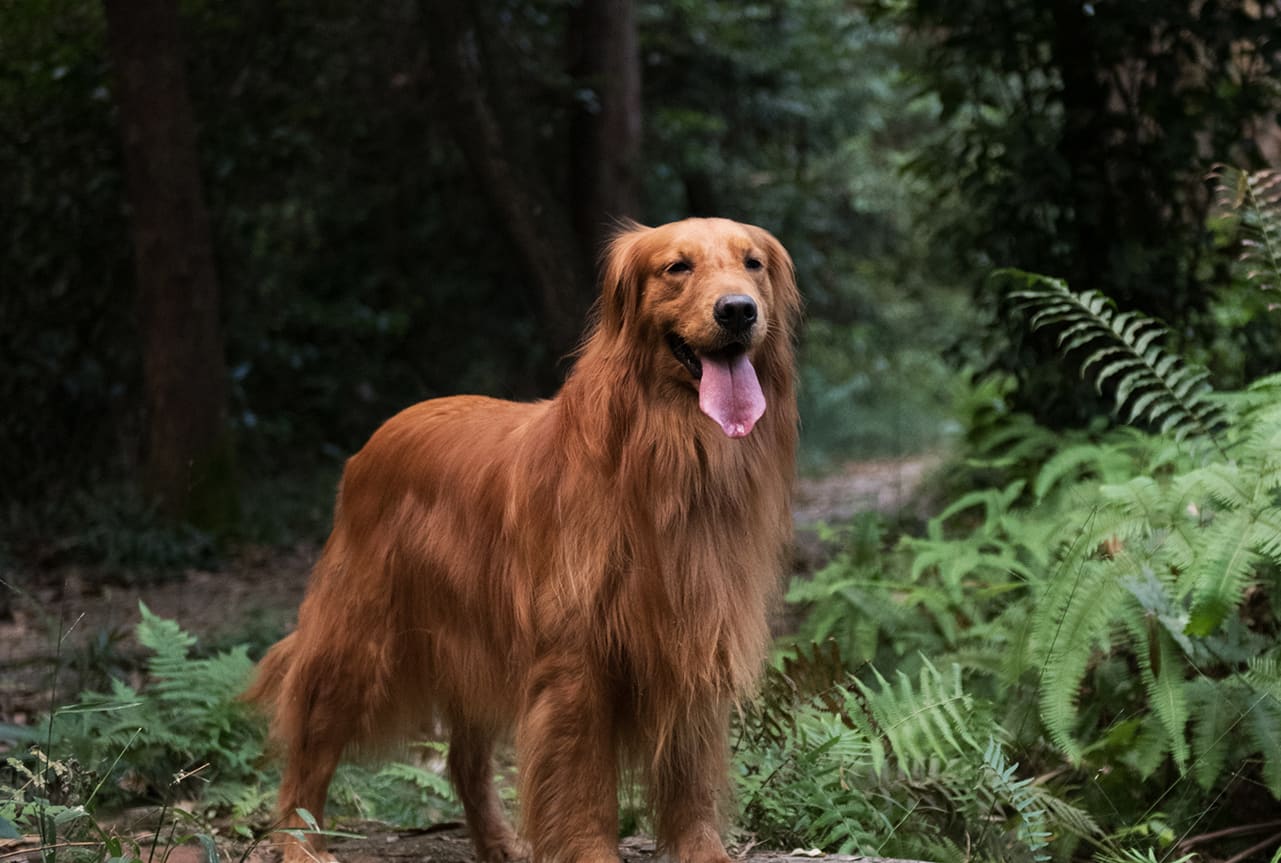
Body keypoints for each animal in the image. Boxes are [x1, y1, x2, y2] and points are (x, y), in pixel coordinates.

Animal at [244, 218, 794, 860]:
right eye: (677, 267)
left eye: (753, 264)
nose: (738, 310)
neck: (666, 455)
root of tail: (378, 437)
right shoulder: (575, 662)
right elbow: (583, 785)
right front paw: (592, 852)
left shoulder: (694, 638)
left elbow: (691, 780)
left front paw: (701, 850)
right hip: (359, 640)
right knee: (310, 745)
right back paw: (300, 841)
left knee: (465, 760)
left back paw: (497, 842)